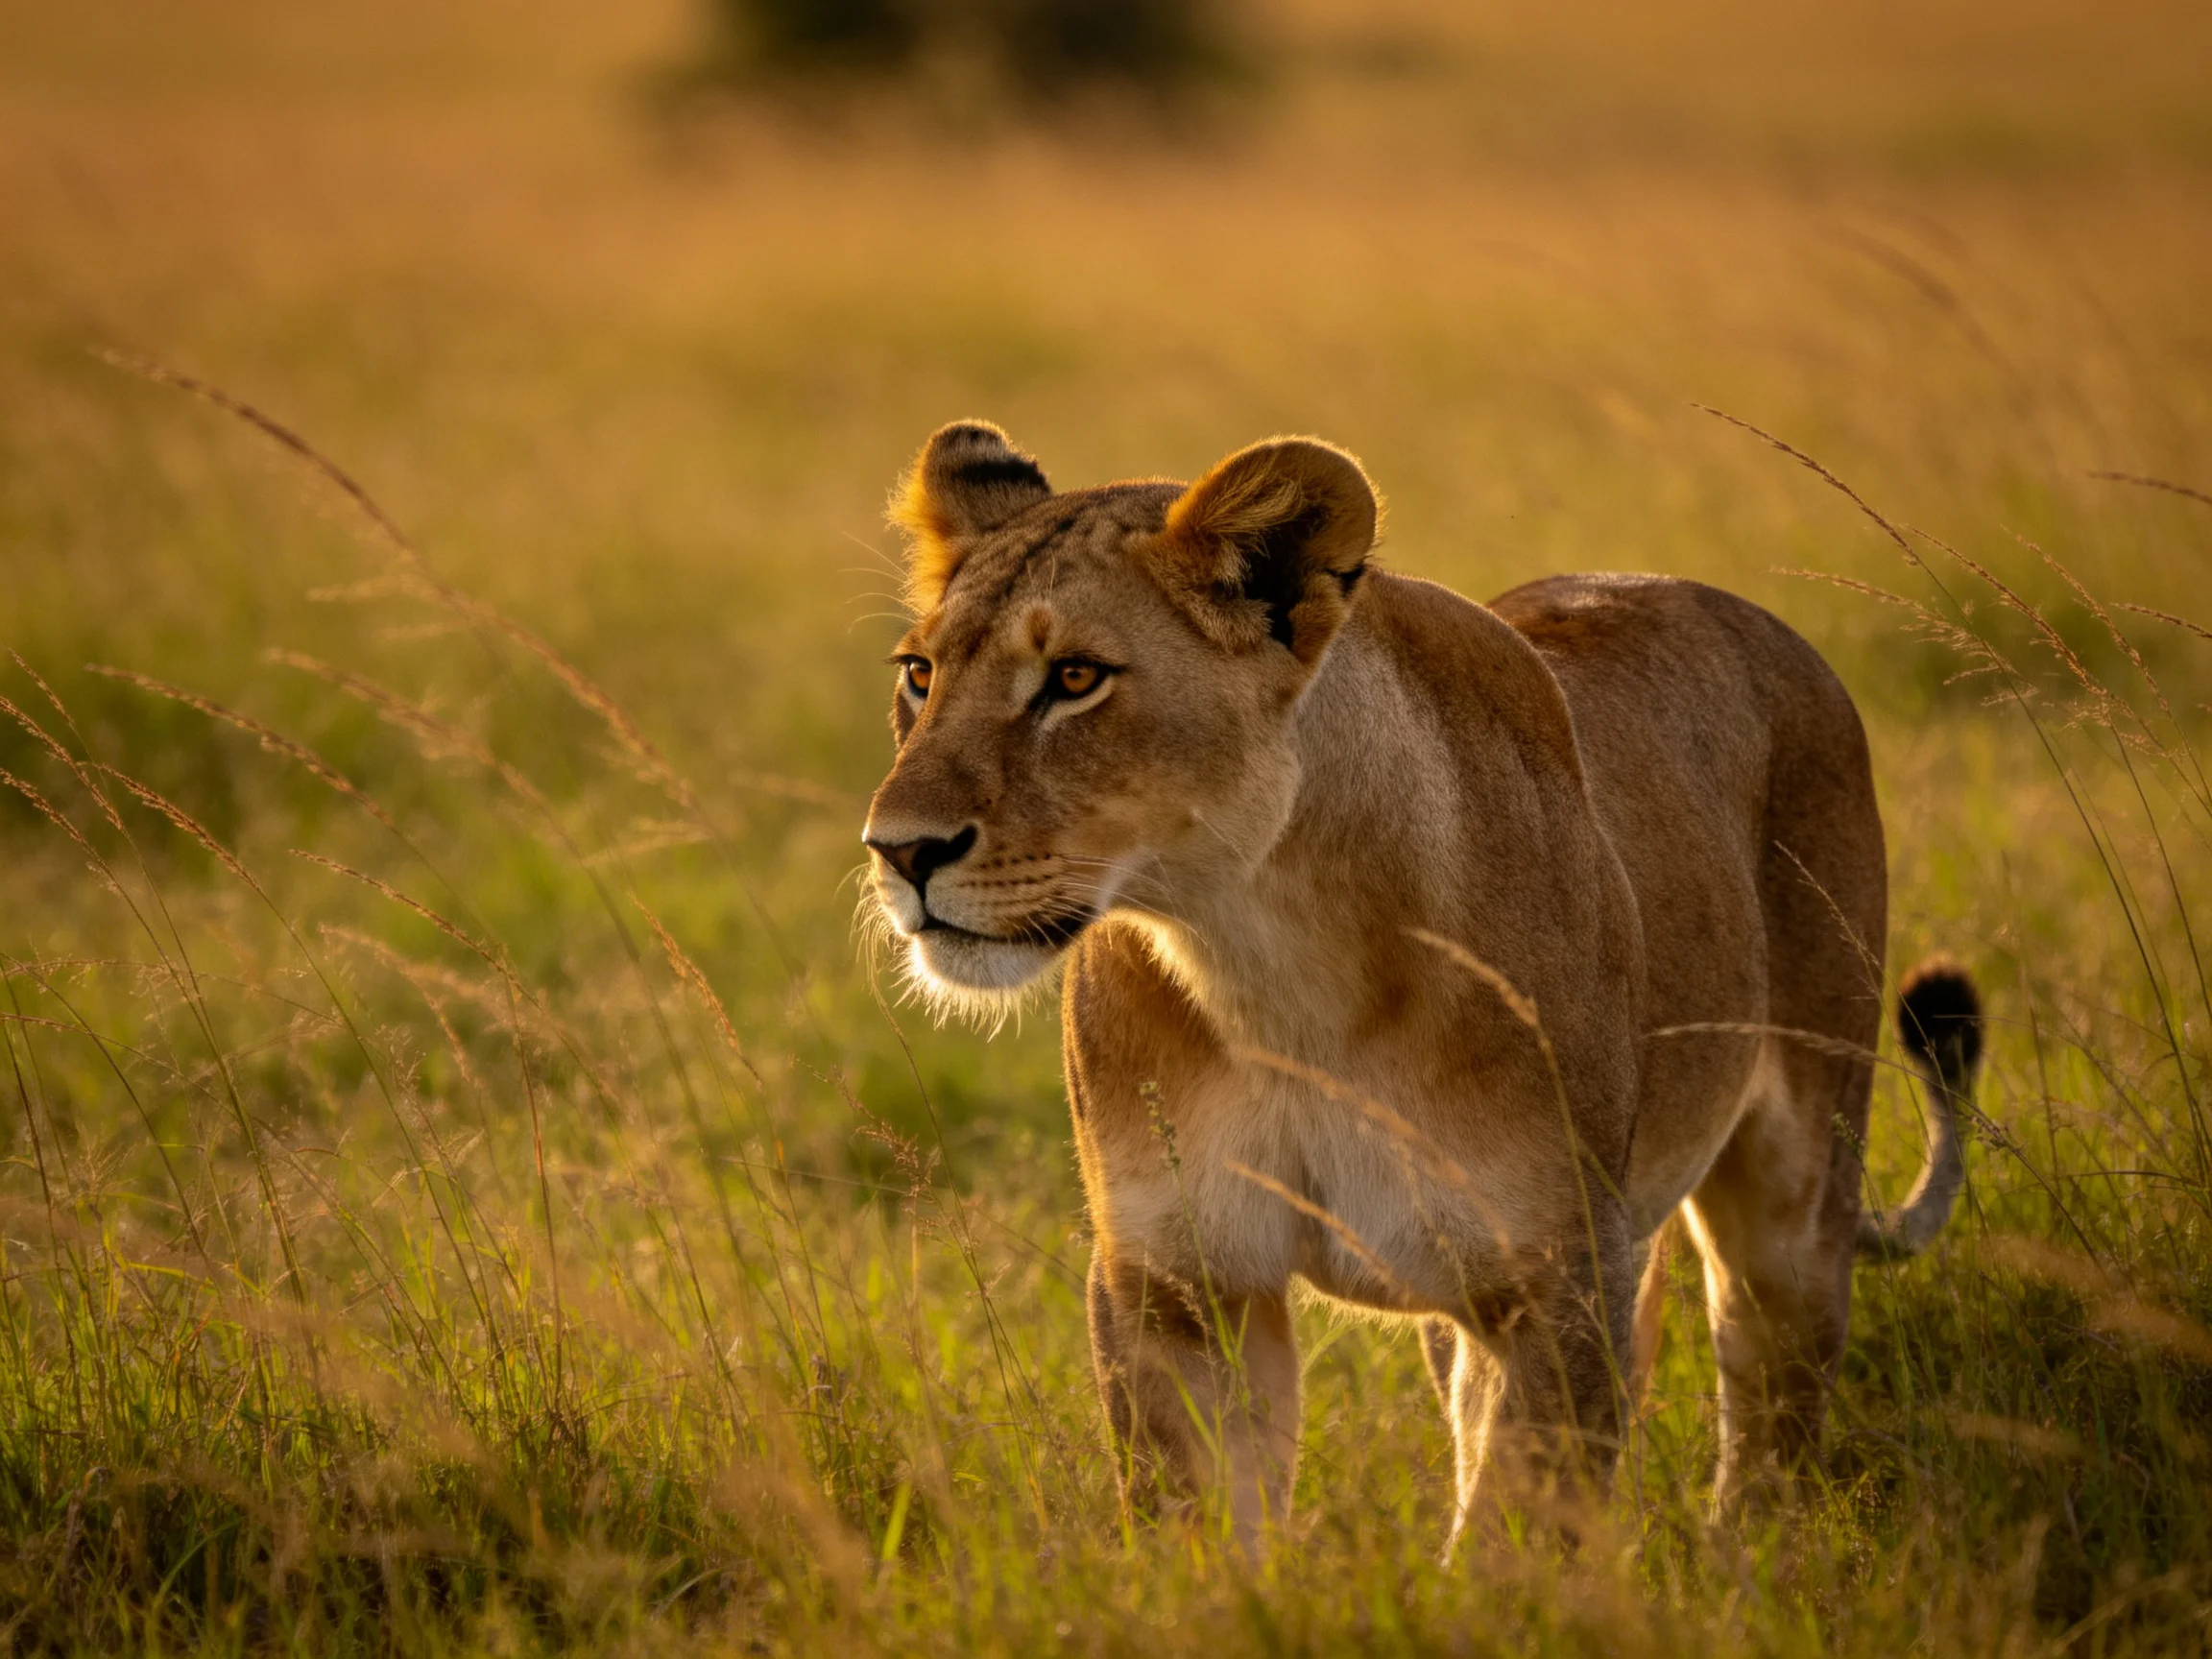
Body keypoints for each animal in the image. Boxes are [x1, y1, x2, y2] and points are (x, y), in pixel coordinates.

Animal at [861, 420, 1985, 1553]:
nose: (898, 851)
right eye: (919, 673)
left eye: (1076, 677)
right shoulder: (1178, 1284)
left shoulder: (1553, 1278)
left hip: (1796, 1188)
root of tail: (1748, 615)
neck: (1268, 963)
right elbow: (1200, 1534)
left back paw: (1742, 1562)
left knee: (1770, 1410)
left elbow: (1512, 1543)